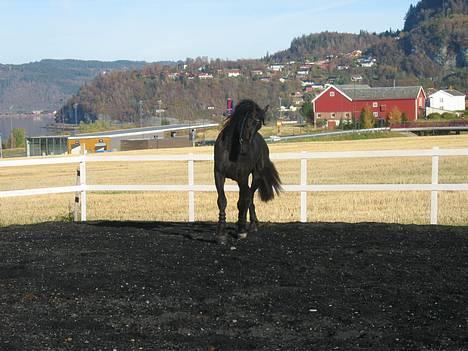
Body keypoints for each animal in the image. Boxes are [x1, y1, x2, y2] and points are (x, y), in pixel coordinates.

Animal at [213, 97, 282, 243]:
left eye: (259, 125)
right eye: (248, 120)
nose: (244, 148)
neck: (231, 150)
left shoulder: (242, 177)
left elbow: (242, 202)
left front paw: (241, 231)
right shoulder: (218, 175)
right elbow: (222, 201)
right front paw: (221, 233)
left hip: (256, 176)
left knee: (249, 196)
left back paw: (250, 225)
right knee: (249, 196)